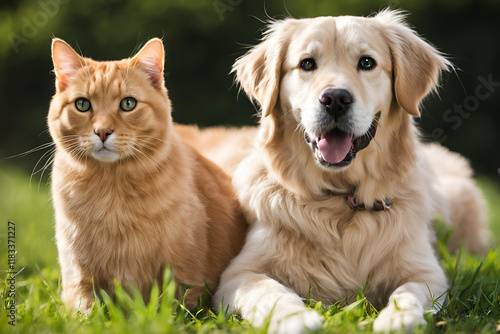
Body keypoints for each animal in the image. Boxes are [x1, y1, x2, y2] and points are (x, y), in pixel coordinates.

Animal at [47, 37, 247, 312]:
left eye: (128, 103)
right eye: (82, 104)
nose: (102, 132)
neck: (111, 192)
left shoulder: (184, 276)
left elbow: (173, 310)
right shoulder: (78, 278)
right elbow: (86, 311)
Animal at [210, 9, 488, 332]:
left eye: (366, 62)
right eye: (307, 64)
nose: (335, 99)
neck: (341, 198)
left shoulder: (428, 273)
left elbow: (408, 292)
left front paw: (398, 318)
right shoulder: (236, 276)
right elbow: (270, 290)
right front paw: (295, 317)